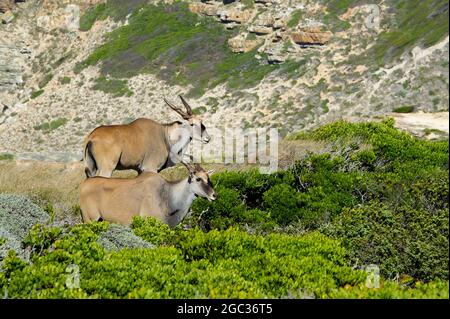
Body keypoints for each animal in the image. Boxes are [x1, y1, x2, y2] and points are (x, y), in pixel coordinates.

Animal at [79, 162, 216, 228]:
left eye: (208, 178)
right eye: (198, 179)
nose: (214, 195)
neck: (167, 194)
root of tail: (85, 183)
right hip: (89, 220)